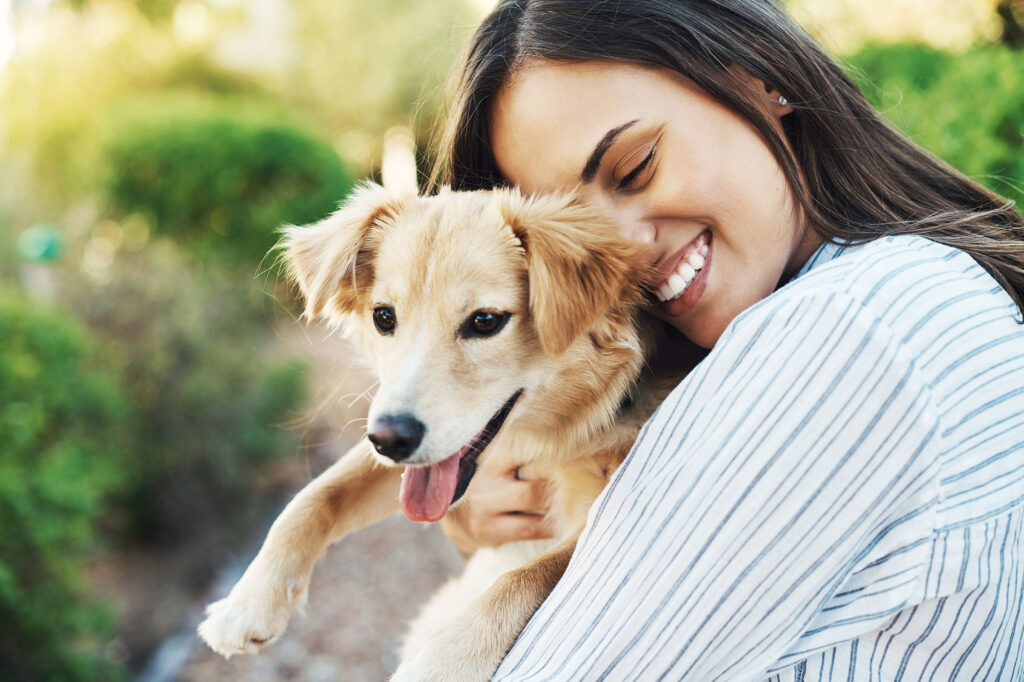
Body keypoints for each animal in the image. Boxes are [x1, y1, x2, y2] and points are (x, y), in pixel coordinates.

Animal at [195, 159, 692, 675]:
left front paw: (443, 661)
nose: (389, 440)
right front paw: (249, 602)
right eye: (384, 317)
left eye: (485, 321)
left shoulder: (594, 521)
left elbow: (527, 576)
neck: (557, 434)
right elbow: (315, 495)